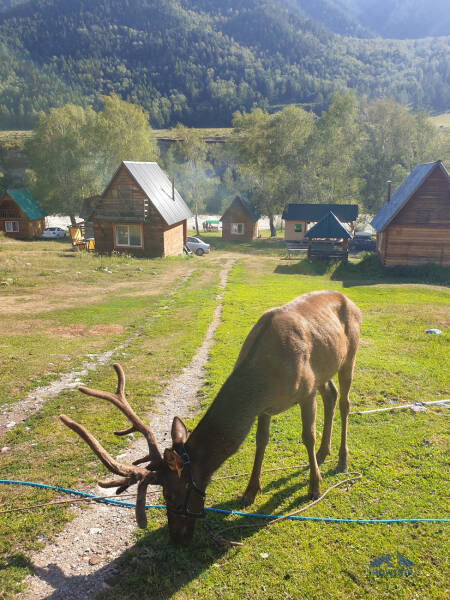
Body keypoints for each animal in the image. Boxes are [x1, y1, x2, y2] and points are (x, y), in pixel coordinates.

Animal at [59, 288, 362, 548]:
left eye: (171, 494)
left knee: (345, 402)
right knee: (331, 395)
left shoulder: (306, 390)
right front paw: (249, 492)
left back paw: (341, 460)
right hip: (326, 369)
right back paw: (325, 452)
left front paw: (314, 486)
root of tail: (349, 300)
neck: (261, 381)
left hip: (349, 356)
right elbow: (260, 442)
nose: (177, 539)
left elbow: (306, 436)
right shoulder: (264, 408)